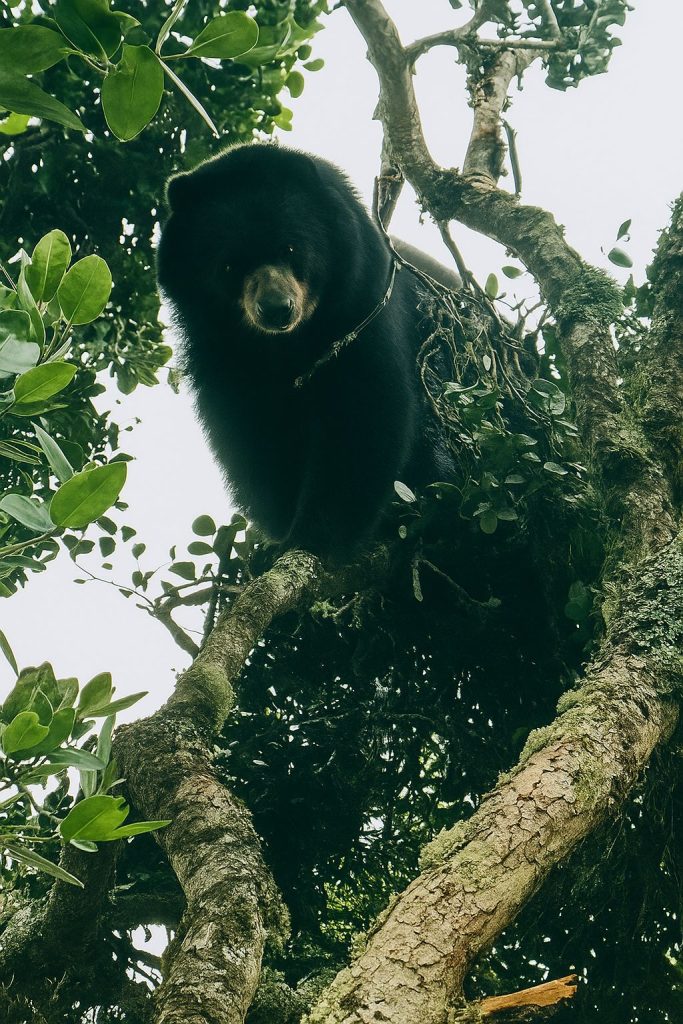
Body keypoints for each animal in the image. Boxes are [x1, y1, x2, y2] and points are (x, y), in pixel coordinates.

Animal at [157, 144, 456, 561]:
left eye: (290, 247)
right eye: (230, 265)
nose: (276, 308)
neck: (284, 344)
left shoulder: (363, 307)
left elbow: (364, 410)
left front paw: (312, 535)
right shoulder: (218, 352)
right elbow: (251, 433)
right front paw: (277, 537)